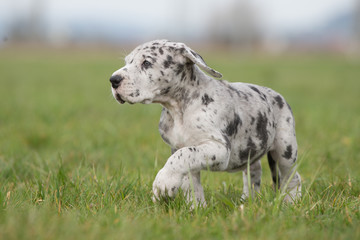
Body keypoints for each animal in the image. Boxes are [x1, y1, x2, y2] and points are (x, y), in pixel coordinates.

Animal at [109, 39, 300, 206]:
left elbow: (180, 157)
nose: (113, 79)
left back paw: (291, 202)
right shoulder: (182, 148)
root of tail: (277, 95)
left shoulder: (219, 148)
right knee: (254, 171)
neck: (179, 109)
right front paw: (197, 208)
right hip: (251, 150)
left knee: (292, 177)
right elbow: (190, 180)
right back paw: (247, 201)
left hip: (285, 150)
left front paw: (163, 182)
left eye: (147, 63)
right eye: (127, 61)